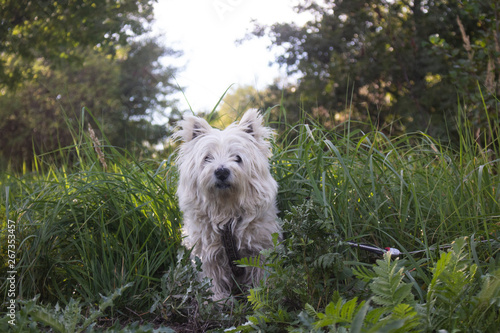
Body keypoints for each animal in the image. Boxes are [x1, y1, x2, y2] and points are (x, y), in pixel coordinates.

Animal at [174, 108, 280, 298]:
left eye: (237, 158)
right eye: (207, 158)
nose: (221, 171)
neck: (226, 211)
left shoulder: (261, 248)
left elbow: (262, 274)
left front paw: (263, 293)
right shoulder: (207, 255)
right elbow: (212, 280)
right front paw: (218, 299)